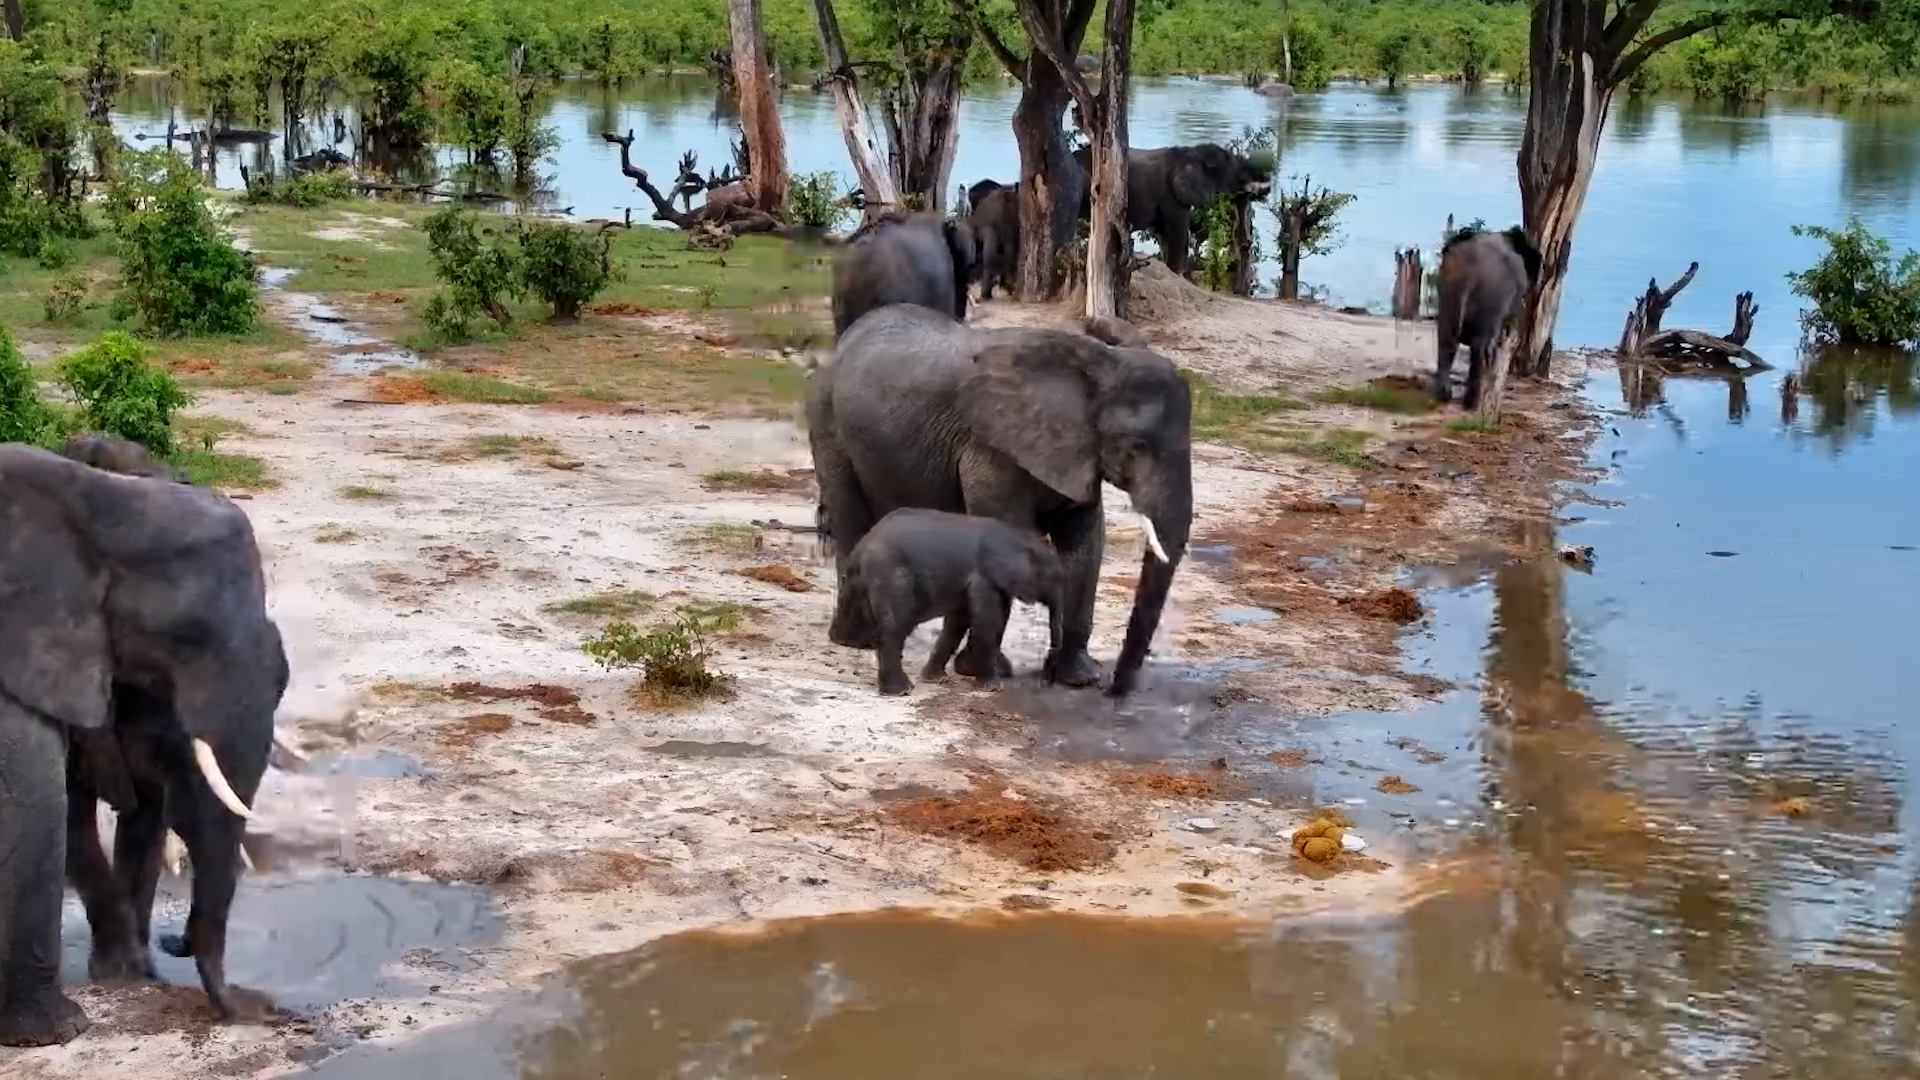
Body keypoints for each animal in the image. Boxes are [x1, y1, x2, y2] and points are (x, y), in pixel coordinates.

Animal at [0, 443, 286, 1045]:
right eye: (189, 637)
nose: (252, 1011)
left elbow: (143, 825)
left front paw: (135, 977)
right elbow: (49, 807)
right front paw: (65, 1027)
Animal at [844, 508, 1066, 696]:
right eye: (1053, 579)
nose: (1046, 682)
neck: (1023, 539)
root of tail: (861, 546)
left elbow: (957, 622)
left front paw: (935, 679)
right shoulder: (983, 578)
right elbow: (985, 624)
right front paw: (992, 687)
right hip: (890, 576)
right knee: (895, 627)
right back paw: (901, 691)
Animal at [1070, 143, 1274, 277]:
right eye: (1233, 168)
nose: (1266, 185)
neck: (1192, 152)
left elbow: (1165, 235)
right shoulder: (1171, 195)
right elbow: (1177, 234)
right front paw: (1175, 272)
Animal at [1431, 226, 1542, 411]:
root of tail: (1472, 266)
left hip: (1448, 288)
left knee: (1447, 339)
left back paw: (1443, 395)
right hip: (1491, 295)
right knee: (1480, 347)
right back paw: (1473, 403)